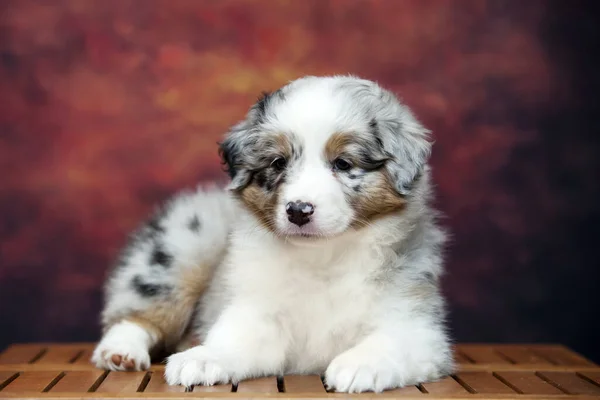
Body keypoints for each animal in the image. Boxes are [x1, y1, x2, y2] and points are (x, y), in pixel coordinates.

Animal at [91, 76, 452, 394]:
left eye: (343, 163)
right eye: (278, 163)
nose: (298, 210)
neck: (324, 257)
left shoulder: (415, 321)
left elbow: (392, 340)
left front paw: (360, 365)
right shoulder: (259, 311)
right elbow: (233, 338)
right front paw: (203, 358)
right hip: (184, 245)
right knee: (136, 312)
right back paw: (122, 352)